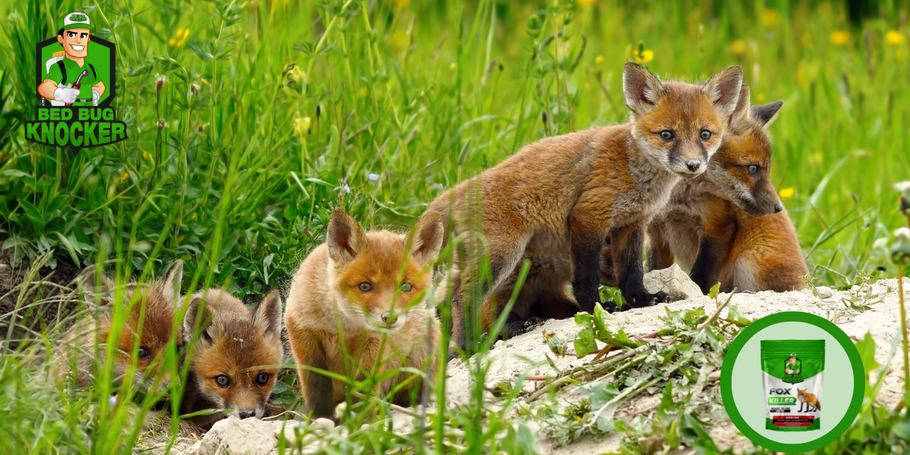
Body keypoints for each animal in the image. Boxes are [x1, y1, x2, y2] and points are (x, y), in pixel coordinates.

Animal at [284, 208, 442, 422]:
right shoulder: (301, 332)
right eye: (365, 286)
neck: (343, 326)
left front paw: (360, 419)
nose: (389, 317)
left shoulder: (374, 343)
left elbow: (364, 385)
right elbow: (316, 383)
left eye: (406, 287)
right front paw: (319, 417)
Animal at [430, 62, 748, 350]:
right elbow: (586, 277)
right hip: (502, 255)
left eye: (705, 134)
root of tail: (457, 190)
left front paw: (642, 300)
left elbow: (631, 271)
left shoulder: (631, 223)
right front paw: (596, 308)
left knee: (449, 297)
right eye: (667, 135)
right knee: (463, 298)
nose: (693, 165)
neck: (634, 170)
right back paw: (468, 345)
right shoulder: (588, 216)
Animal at [604, 84, 804, 292]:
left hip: (748, 262)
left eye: (764, 169)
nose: (777, 208)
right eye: (753, 169)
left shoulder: (717, 226)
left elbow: (701, 276)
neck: (675, 201)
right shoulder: (656, 232)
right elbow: (656, 270)